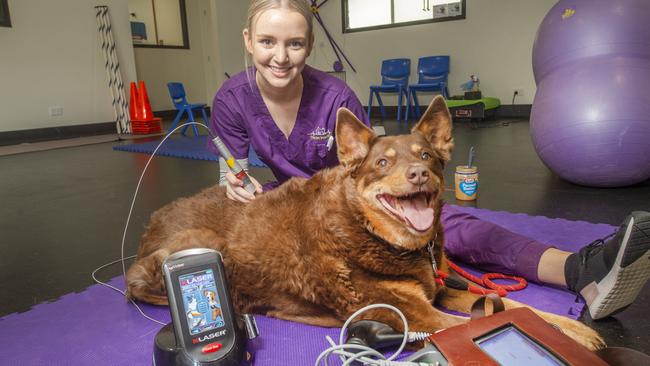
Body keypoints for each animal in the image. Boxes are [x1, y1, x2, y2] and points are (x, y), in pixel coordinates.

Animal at [126, 96, 604, 350]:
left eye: (427, 156)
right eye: (382, 163)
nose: (419, 174)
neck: (374, 234)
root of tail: (153, 220)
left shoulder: (440, 288)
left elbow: (519, 308)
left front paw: (576, 330)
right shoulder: (419, 313)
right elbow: (480, 323)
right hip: (196, 248)